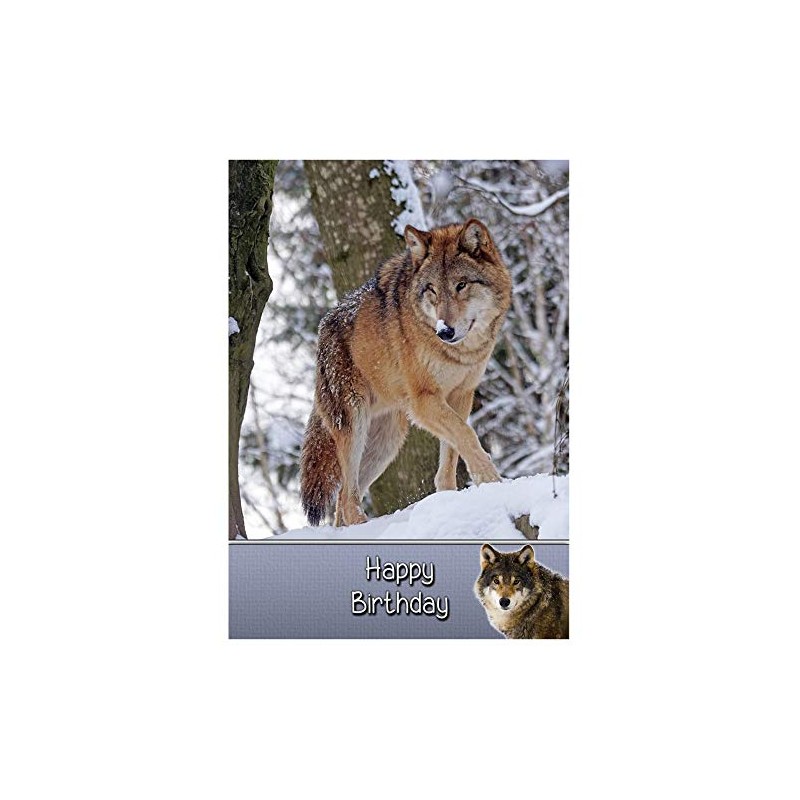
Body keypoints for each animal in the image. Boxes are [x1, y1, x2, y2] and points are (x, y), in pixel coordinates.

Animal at [299, 219, 512, 527]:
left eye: (461, 285)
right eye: (432, 289)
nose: (445, 331)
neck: (459, 353)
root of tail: (323, 328)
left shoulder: (461, 395)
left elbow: (452, 452)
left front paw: (450, 498)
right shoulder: (424, 401)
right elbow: (467, 436)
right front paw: (491, 481)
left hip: (386, 442)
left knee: (342, 499)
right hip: (355, 425)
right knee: (347, 498)